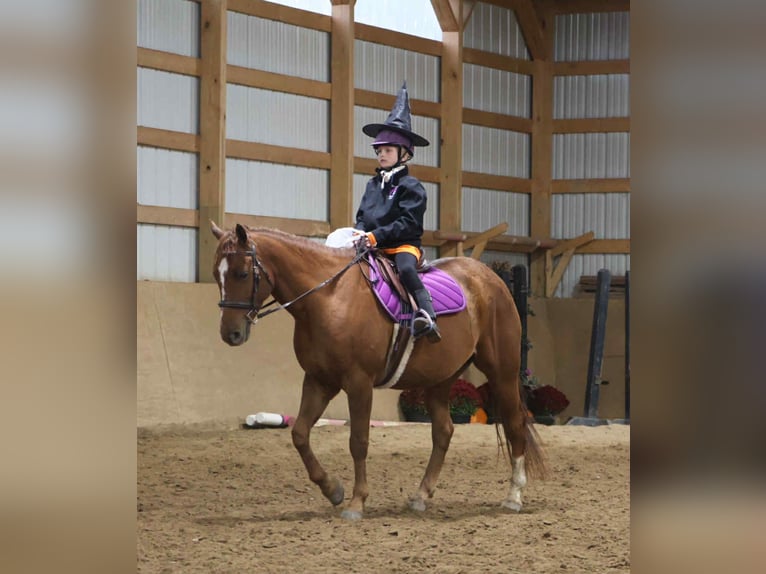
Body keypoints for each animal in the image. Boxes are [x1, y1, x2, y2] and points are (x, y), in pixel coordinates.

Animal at [210, 222, 546, 521]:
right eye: (216, 274)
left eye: (242, 273)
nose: (230, 334)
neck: (328, 297)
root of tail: (491, 278)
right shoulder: (319, 380)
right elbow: (300, 434)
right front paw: (333, 490)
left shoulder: (358, 383)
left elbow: (358, 441)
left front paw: (356, 503)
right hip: (440, 379)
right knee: (443, 432)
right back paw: (421, 496)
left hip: (502, 372)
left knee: (515, 424)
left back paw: (514, 496)